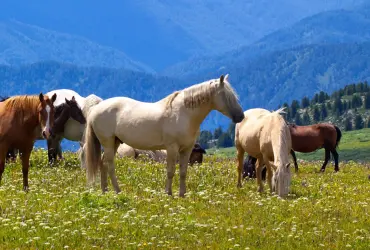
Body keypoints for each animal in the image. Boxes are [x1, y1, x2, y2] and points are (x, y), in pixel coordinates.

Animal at [84, 73, 246, 196]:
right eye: (226, 96)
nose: (240, 116)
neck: (184, 114)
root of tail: (96, 109)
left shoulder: (187, 149)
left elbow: (183, 171)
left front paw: (182, 194)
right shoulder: (172, 148)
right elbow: (170, 171)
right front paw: (168, 193)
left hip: (115, 142)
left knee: (103, 163)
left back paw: (105, 191)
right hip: (108, 142)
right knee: (109, 165)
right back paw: (117, 191)